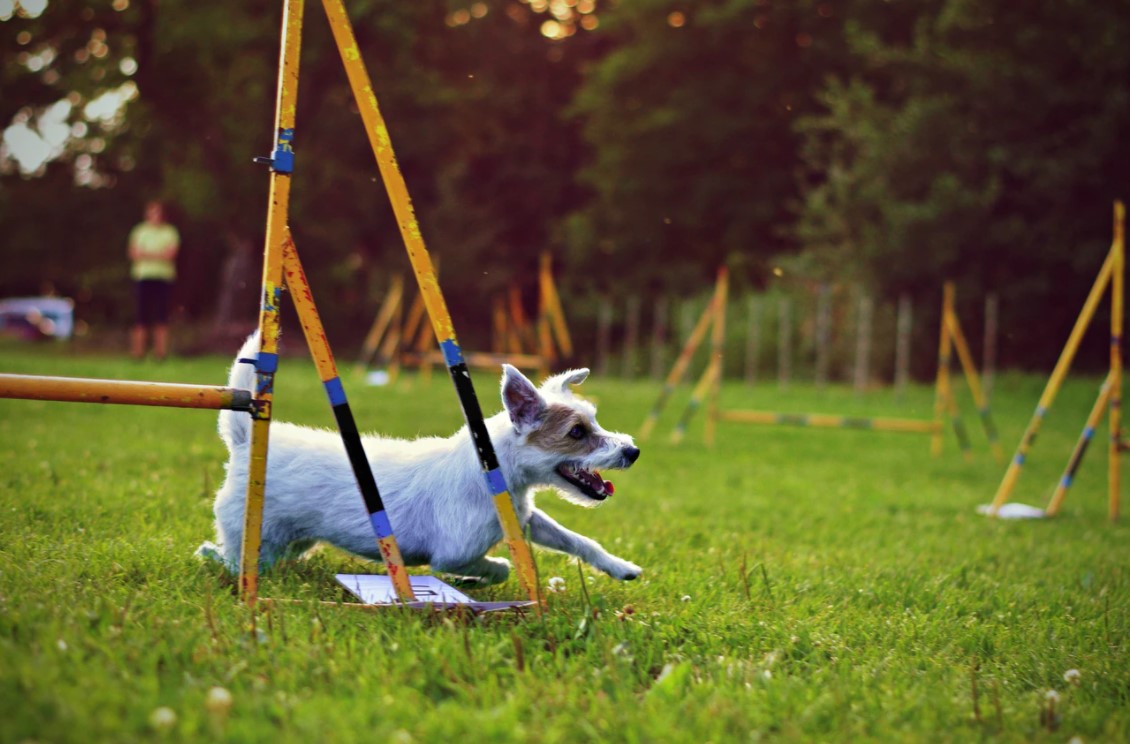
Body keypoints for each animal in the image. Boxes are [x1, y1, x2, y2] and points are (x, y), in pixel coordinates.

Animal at [197, 332, 641, 583]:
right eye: (577, 433)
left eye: (594, 420)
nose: (633, 451)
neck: (494, 472)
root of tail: (243, 442)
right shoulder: (454, 554)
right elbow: (494, 568)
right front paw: (475, 581)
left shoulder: (526, 519)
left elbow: (577, 540)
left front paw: (620, 567)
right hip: (256, 536)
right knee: (229, 559)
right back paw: (214, 559)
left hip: (293, 540)